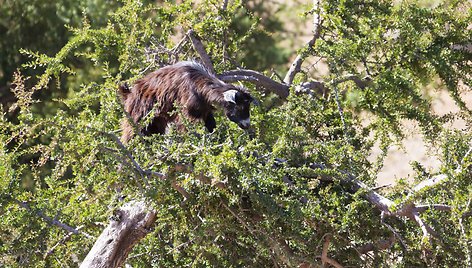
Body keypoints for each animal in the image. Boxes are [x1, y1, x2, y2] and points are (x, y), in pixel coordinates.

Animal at [120, 60, 256, 142]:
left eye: (247, 106)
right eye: (239, 107)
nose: (247, 124)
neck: (197, 85)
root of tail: (130, 93)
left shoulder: (205, 111)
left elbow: (212, 126)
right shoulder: (186, 113)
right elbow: (185, 128)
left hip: (157, 121)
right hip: (139, 117)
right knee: (131, 134)